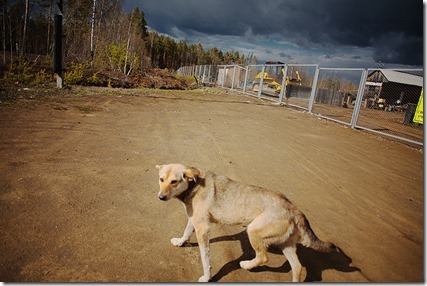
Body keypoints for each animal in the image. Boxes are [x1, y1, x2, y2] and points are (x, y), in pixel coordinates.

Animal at [156, 163, 338, 282]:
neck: (193, 184)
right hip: (285, 243)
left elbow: (205, 258)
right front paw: (180, 242)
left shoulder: (203, 229)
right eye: (161, 179)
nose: (160, 197)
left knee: (263, 257)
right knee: (297, 267)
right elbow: (186, 233)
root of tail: (293, 208)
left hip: (253, 231)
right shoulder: (194, 220)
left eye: (174, 181)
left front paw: (207, 277)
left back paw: (246, 265)